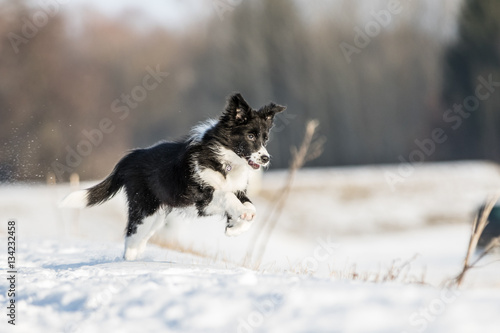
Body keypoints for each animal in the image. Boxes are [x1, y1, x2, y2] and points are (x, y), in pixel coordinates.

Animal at [63, 92, 286, 260]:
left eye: (265, 138)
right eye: (250, 136)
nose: (265, 158)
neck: (227, 161)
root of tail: (132, 156)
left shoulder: (238, 189)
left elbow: (251, 206)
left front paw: (235, 228)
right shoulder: (202, 197)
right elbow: (226, 196)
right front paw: (239, 217)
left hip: (157, 216)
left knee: (140, 237)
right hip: (144, 208)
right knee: (131, 234)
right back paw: (130, 261)